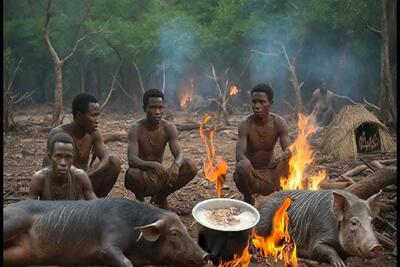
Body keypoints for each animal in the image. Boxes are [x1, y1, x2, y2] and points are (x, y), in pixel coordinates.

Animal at [3, 198, 209, 266]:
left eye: (185, 229)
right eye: (174, 233)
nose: (205, 256)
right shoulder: (108, 241)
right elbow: (122, 260)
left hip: (22, 254)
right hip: (14, 220)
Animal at [256, 189, 384, 267]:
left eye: (371, 222)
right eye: (353, 222)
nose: (377, 246)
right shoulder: (317, 238)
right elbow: (324, 249)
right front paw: (340, 264)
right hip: (263, 219)